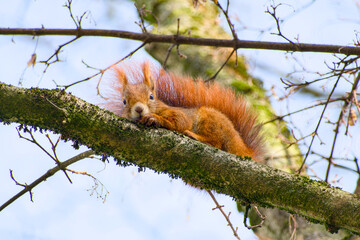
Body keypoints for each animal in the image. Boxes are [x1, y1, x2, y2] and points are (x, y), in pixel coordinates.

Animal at [102, 62, 262, 161]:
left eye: (151, 96)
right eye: (124, 101)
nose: (139, 109)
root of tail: (242, 146)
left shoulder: (178, 113)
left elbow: (180, 122)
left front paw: (155, 119)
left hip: (210, 120)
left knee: (216, 143)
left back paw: (194, 136)